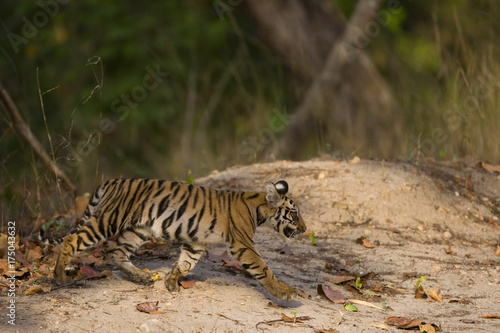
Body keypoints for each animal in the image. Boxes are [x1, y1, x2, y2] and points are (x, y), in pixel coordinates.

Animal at [48, 178, 306, 300]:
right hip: (108, 220)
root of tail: (112, 181)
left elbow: (185, 263)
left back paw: (141, 277)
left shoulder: (196, 242)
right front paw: (285, 292)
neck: (258, 209)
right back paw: (60, 277)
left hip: (138, 230)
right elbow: (263, 269)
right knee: (71, 239)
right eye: (294, 214)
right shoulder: (242, 244)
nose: (304, 229)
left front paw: (171, 282)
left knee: (114, 251)